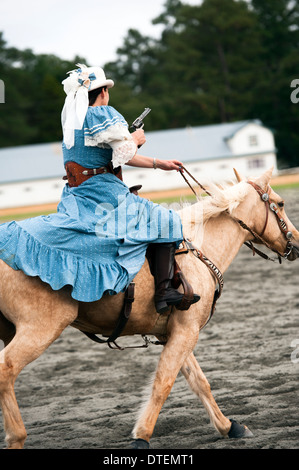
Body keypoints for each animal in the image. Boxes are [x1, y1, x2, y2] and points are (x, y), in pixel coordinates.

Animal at [0, 168, 298, 448]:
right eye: (281, 203)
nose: (296, 241)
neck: (197, 253)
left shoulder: (175, 332)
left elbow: (199, 382)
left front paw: (229, 427)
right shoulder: (187, 332)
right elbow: (163, 383)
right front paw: (141, 437)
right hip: (40, 329)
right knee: (5, 369)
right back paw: (17, 436)